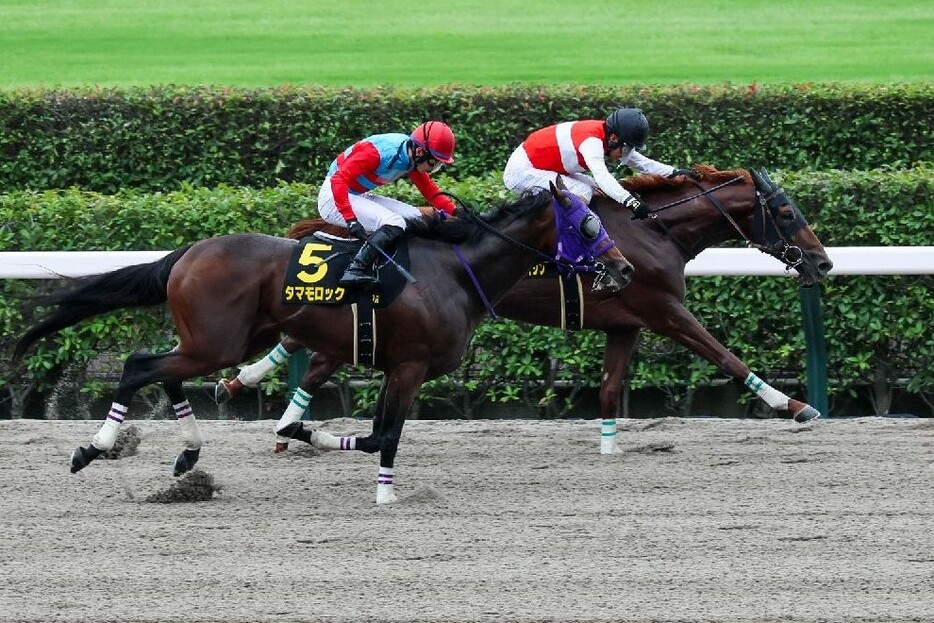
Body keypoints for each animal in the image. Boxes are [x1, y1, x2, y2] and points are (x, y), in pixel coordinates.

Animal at [14, 179, 632, 502]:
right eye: (586, 223)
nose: (625, 270)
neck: (454, 273)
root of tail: (187, 253)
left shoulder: (386, 364)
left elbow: (344, 428)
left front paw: (305, 433)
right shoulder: (409, 366)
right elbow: (384, 434)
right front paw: (385, 491)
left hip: (228, 340)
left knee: (163, 371)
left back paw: (188, 453)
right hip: (217, 341)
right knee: (140, 366)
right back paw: (92, 448)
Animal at [219, 166, 832, 454]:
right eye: (784, 211)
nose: (823, 263)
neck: (652, 232)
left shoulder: (626, 322)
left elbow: (610, 388)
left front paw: (608, 446)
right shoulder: (662, 310)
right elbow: (724, 355)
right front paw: (795, 405)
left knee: (310, 351)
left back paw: (256, 398)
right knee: (312, 356)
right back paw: (258, 399)